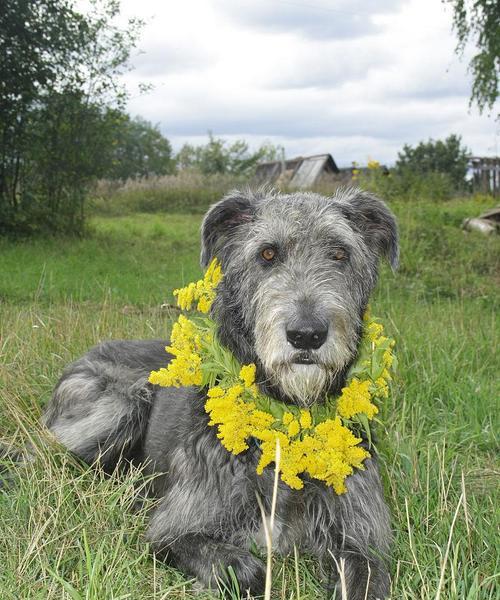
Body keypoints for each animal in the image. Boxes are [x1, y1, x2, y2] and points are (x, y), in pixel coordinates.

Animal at [42, 186, 398, 596]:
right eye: (267, 254)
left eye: (340, 253)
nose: (307, 334)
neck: (286, 418)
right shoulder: (174, 529)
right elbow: (245, 570)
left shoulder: (360, 536)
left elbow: (368, 574)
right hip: (120, 405)